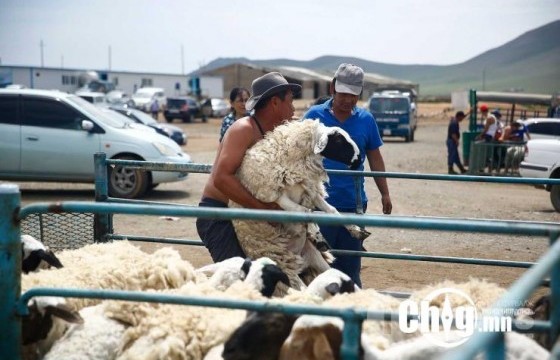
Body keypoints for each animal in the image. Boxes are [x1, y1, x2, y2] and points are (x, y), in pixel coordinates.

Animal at [230, 119, 366, 292]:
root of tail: (299, 262)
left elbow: (332, 210)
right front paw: (316, 233)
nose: (358, 160)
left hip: (313, 256)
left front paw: (355, 230)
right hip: (284, 265)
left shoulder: (309, 189)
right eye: (338, 140)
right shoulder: (275, 196)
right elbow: (304, 211)